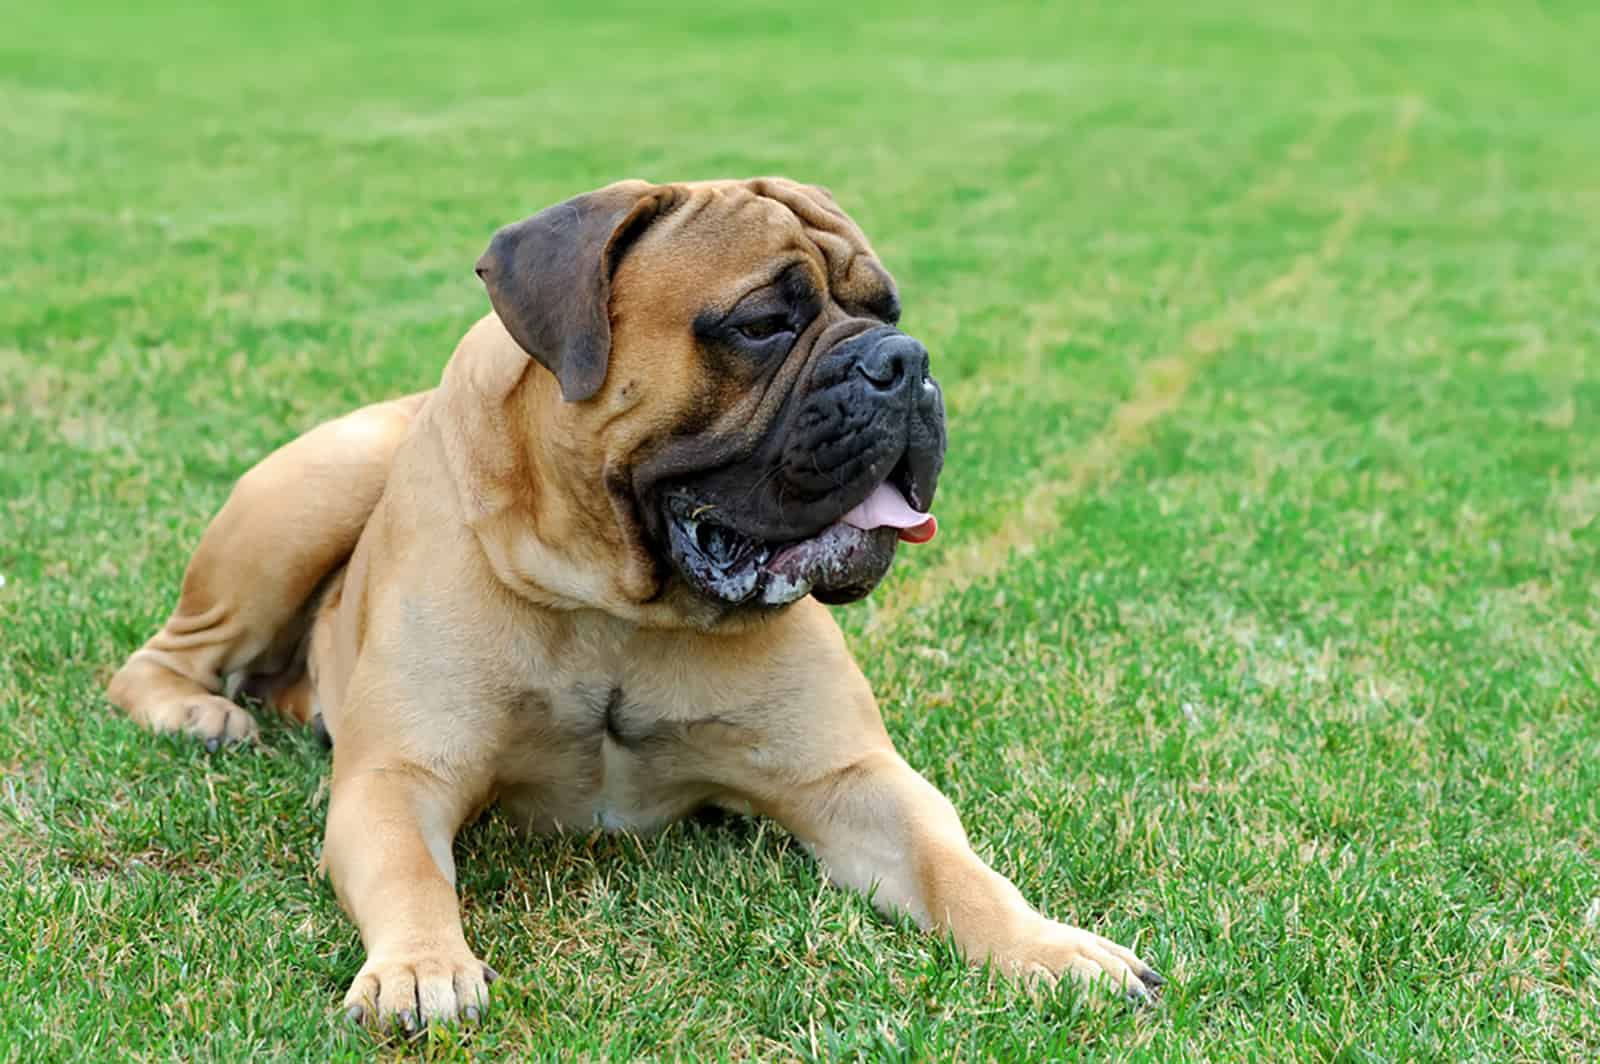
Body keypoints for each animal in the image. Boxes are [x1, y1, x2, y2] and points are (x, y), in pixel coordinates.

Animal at [112, 178, 1164, 1024]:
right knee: (162, 657)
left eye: (889, 306)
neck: (620, 603)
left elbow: (955, 863)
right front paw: (420, 966)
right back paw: (197, 716)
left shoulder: (851, 780)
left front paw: (1052, 948)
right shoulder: (397, 778)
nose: (905, 361)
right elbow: (410, 870)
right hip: (319, 487)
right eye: (761, 323)